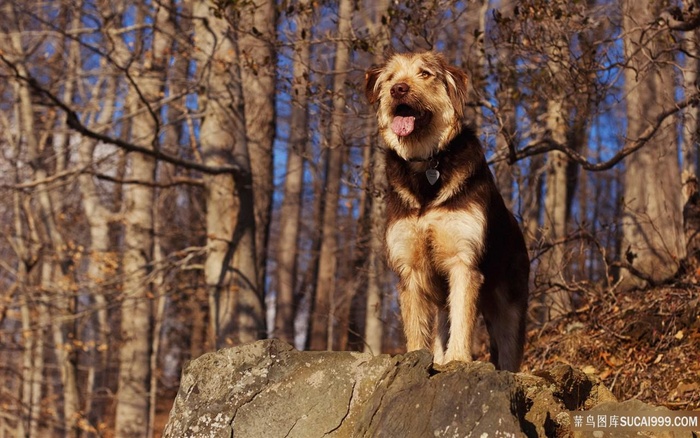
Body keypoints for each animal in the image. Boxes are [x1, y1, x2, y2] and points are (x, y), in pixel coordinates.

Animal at [366, 52, 532, 372]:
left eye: (425, 73)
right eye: (390, 78)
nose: (398, 90)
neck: (427, 164)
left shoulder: (462, 261)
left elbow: (463, 320)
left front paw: (458, 359)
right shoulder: (410, 268)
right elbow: (417, 327)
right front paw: (416, 358)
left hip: (510, 305)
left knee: (506, 347)